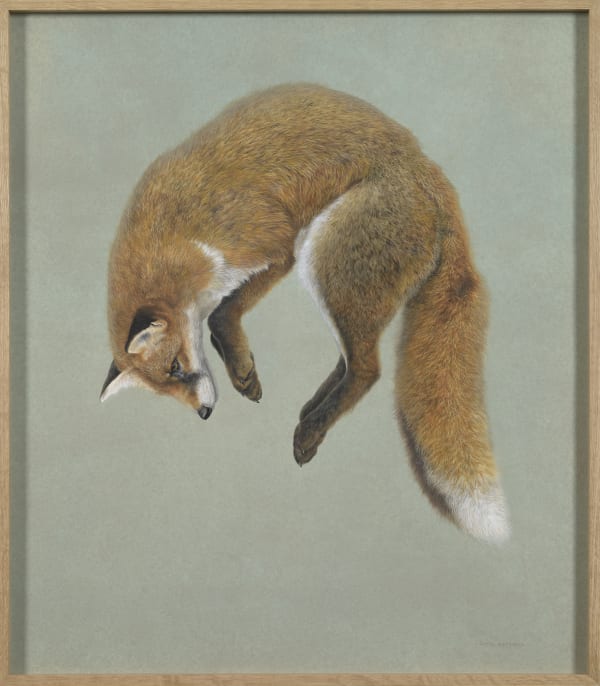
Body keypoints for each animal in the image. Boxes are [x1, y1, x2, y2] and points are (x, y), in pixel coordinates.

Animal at [100, 83, 509, 543]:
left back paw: (312, 430)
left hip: (326, 263)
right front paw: (242, 372)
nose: (204, 414)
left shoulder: (274, 247)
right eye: (163, 390)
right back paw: (312, 410)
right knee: (352, 361)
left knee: (367, 370)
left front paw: (239, 367)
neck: (174, 238)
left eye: (174, 366)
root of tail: (428, 170)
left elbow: (222, 314)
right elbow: (218, 317)